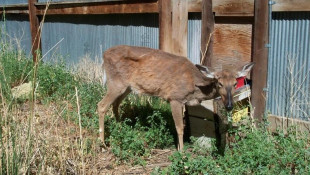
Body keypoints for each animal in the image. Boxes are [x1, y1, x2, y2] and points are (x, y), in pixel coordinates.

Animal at [97, 45, 254, 150]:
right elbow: (179, 127)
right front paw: (182, 153)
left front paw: (179, 148)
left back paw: (120, 128)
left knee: (115, 104)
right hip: (116, 83)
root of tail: (104, 54)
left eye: (235, 83)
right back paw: (103, 143)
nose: (229, 105)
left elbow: (181, 124)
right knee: (101, 105)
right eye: (219, 83)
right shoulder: (174, 98)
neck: (195, 87)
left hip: (127, 87)